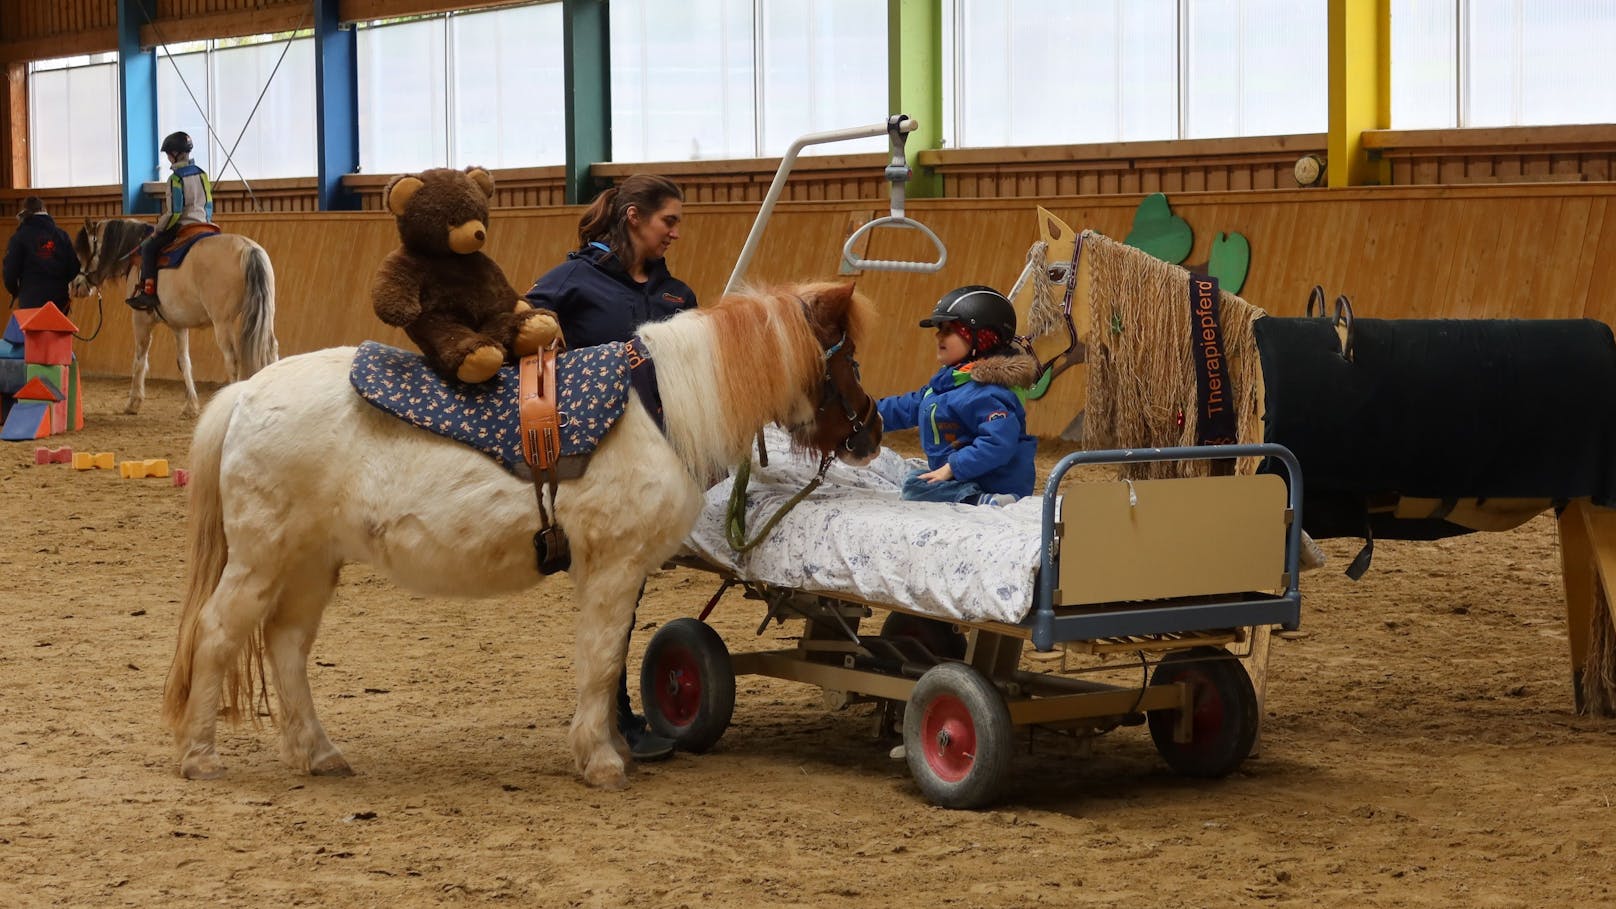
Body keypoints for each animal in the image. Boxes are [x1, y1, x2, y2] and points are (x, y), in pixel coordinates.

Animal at [71, 215, 277, 414]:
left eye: (84, 252)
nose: (75, 285)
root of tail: (248, 248)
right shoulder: (178, 325)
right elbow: (184, 360)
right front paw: (191, 405)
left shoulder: (140, 319)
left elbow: (140, 359)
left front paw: (133, 402)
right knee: (271, 349)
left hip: (223, 323)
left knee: (232, 360)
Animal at [160, 279, 885, 789]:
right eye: (848, 357)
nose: (873, 430)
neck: (660, 408)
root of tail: (247, 393)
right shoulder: (614, 565)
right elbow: (600, 659)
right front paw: (601, 761)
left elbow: (607, 658)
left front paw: (609, 747)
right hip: (262, 558)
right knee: (219, 633)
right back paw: (200, 755)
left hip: (312, 563)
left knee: (287, 644)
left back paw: (318, 751)